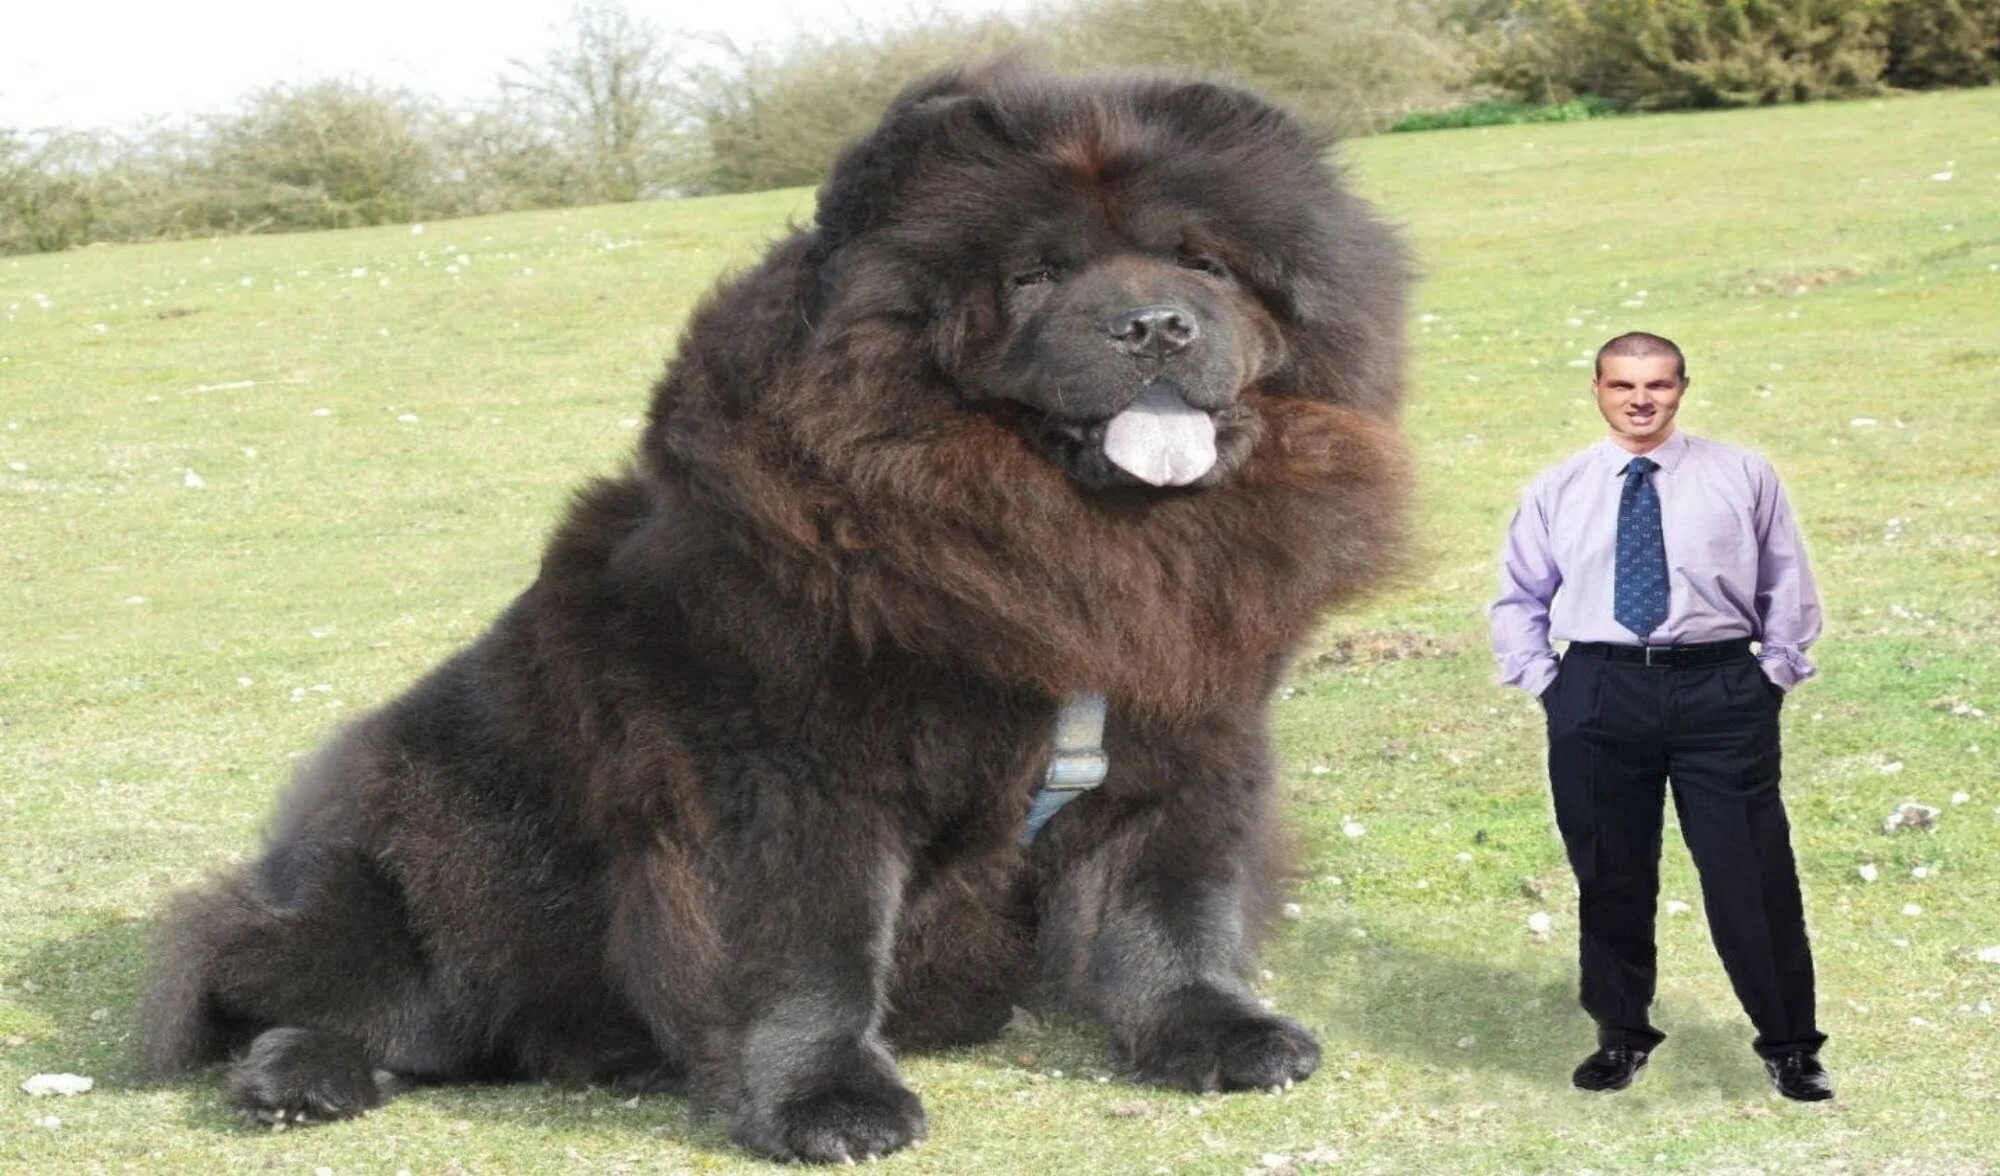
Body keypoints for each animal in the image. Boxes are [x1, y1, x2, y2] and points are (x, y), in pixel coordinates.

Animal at [145, 62, 1408, 1160]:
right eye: (1036, 276)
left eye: (1203, 264)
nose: (1153, 325)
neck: (1066, 549)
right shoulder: (788, 777)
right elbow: (806, 949)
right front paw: (827, 1105)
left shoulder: (1190, 736)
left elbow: (1171, 906)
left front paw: (1222, 1034)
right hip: (403, 856)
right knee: (315, 992)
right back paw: (302, 1079)